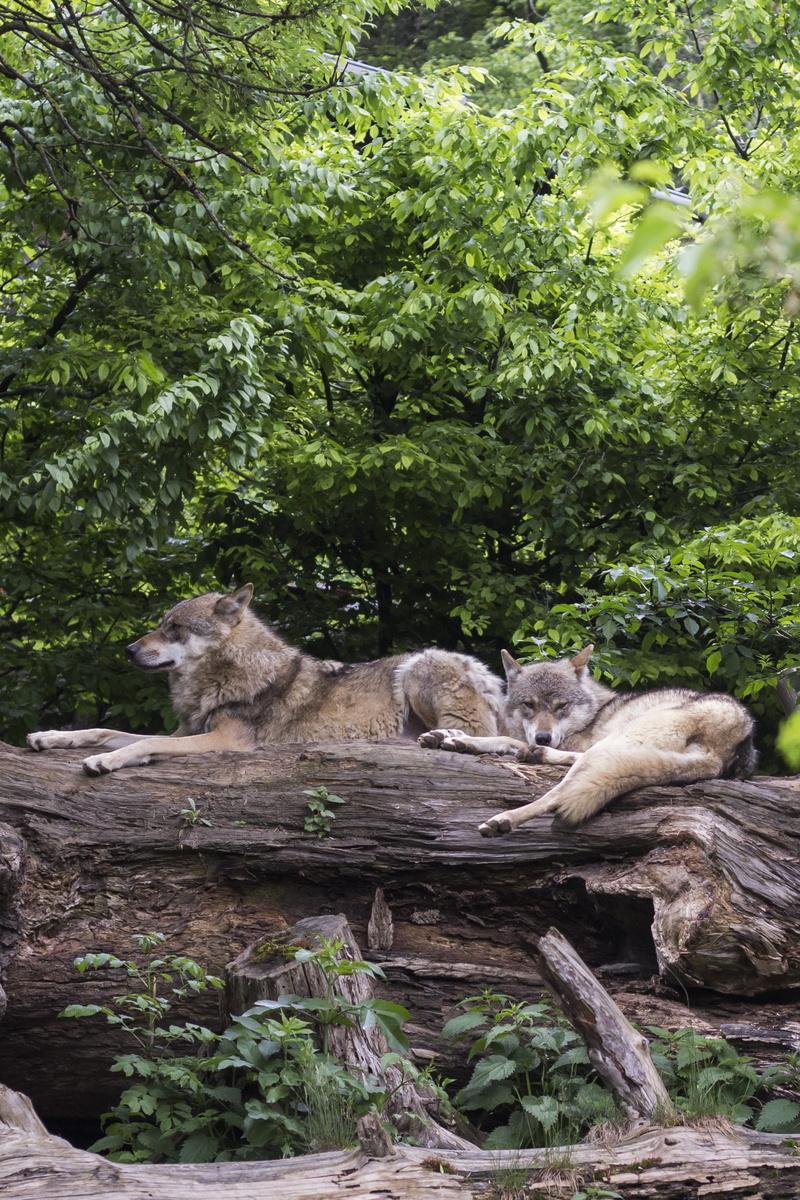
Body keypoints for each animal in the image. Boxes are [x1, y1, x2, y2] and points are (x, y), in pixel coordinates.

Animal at [27, 584, 506, 776]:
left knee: (480, 735)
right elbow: (103, 729)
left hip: (417, 667)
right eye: (161, 625)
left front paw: (106, 761)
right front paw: (51, 737)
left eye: (174, 628)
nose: (127, 650)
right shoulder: (182, 730)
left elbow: (139, 745)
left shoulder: (223, 739)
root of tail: (490, 675)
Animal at [418, 645, 756, 837]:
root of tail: (737, 731)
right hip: (614, 749)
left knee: (559, 792)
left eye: (561, 706)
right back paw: (535, 756)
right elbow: (504, 738)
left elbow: (504, 736)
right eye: (529, 705)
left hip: (611, 745)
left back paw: (504, 818)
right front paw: (451, 737)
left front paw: (461, 739)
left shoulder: (573, 741)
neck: (592, 713)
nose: (543, 735)